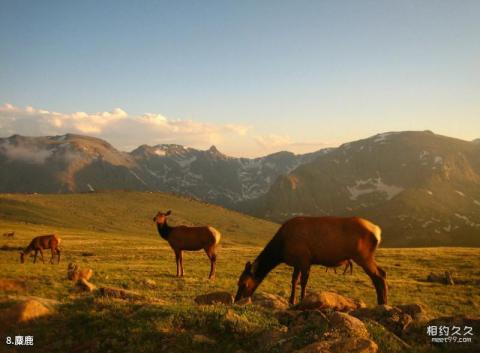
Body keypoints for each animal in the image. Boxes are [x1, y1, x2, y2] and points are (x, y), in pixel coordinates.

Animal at [234, 216, 388, 304]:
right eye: (238, 282)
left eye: (244, 283)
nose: (236, 300)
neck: (281, 250)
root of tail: (378, 231)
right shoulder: (297, 263)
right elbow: (294, 280)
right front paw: (291, 301)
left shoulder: (304, 259)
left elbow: (303, 282)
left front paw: (302, 300)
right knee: (380, 274)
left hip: (363, 256)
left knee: (379, 275)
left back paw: (382, 302)